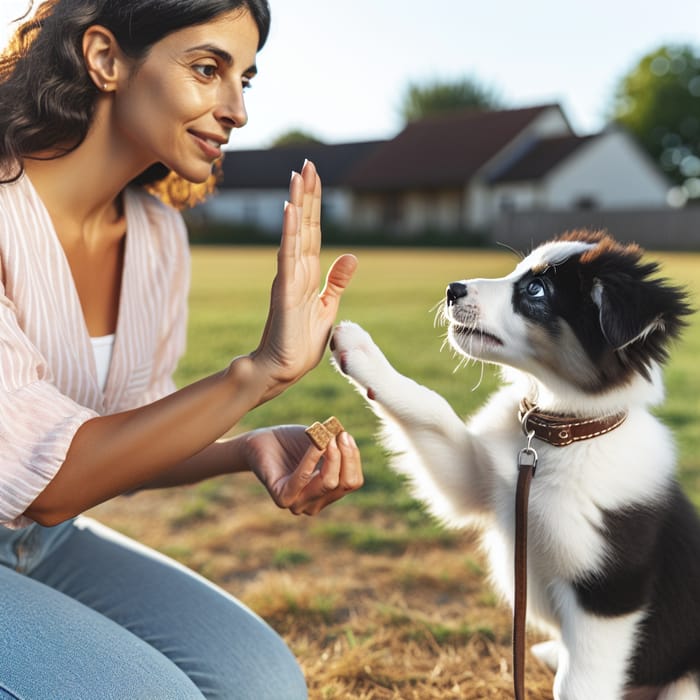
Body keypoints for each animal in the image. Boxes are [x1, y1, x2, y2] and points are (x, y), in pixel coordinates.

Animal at [332, 232, 700, 696]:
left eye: (536, 290)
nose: (451, 290)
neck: (557, 436)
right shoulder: (478, 481)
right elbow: (432, 409)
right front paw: (361, 351)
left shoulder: (609, 593)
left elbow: (576, 686)